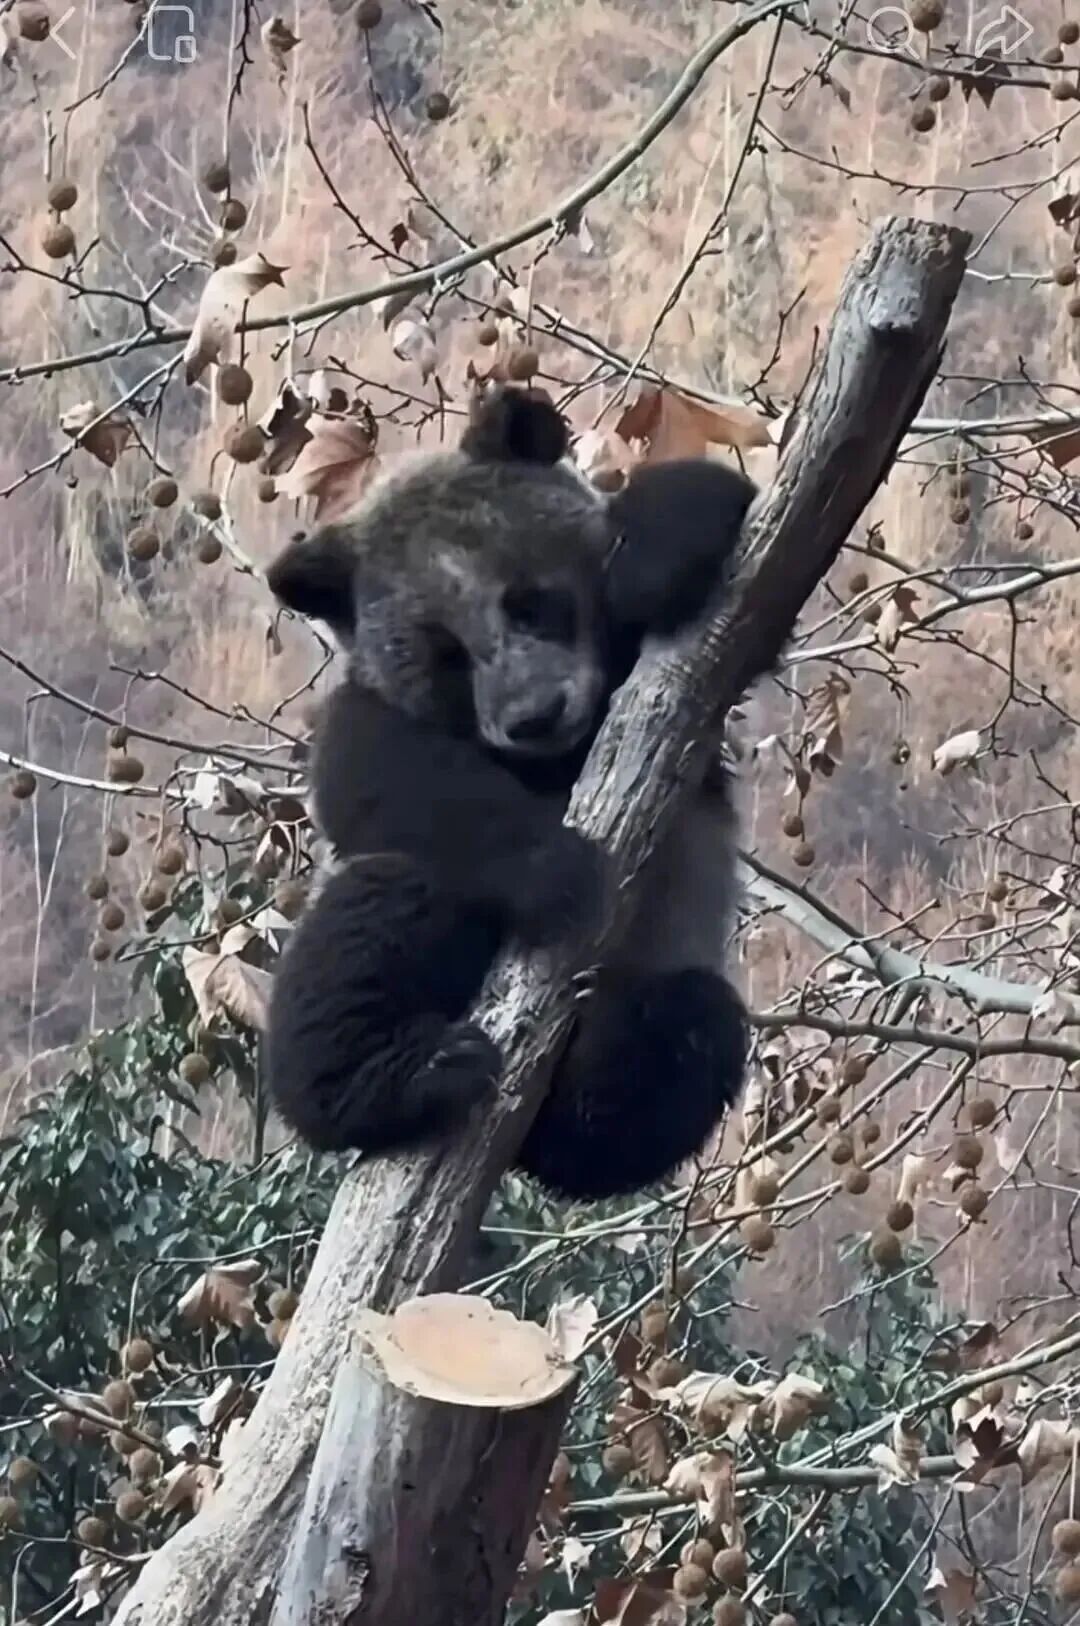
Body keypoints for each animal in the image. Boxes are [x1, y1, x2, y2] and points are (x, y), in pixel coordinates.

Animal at [263, 384, 760, 1199]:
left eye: (531, 603)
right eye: (448, 657)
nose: (533, 717)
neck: (559, 760)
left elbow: (711, 518)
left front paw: (648, 558)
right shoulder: (375, 712)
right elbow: (376, 778)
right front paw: (558, 870)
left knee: (682, 1044)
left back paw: (597, 1083)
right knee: (372, 927)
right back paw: (404, 1078)